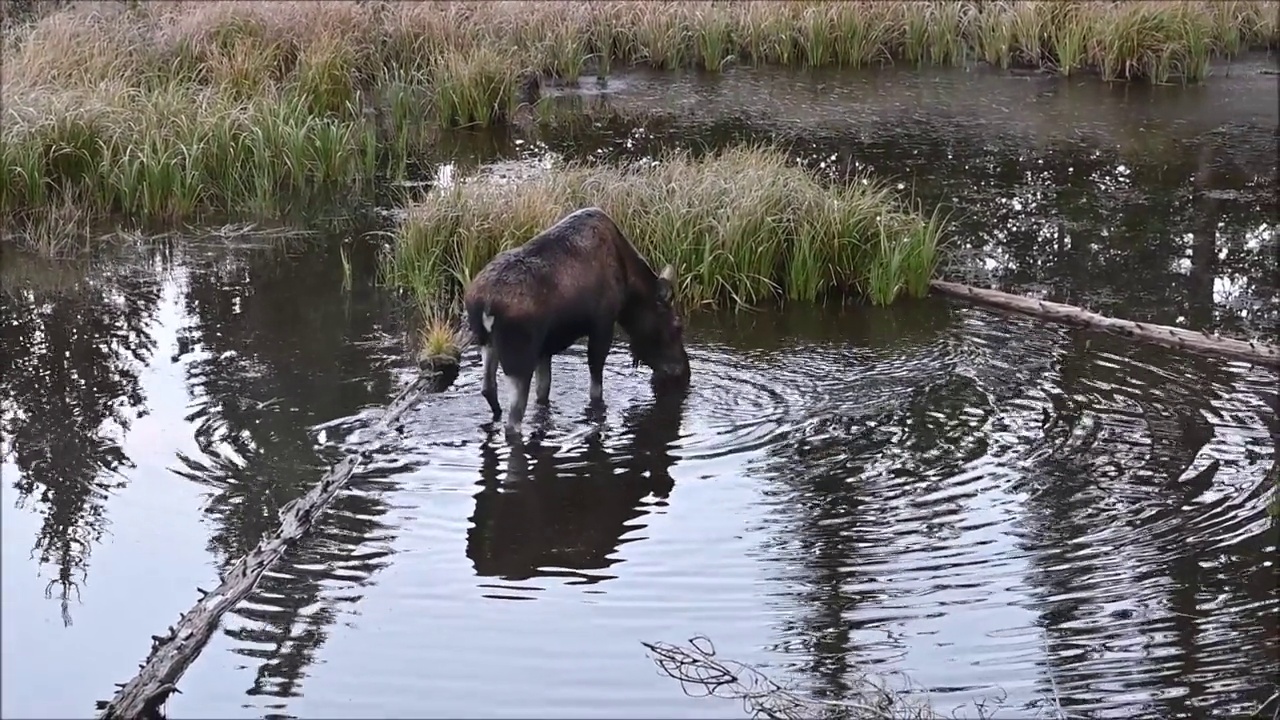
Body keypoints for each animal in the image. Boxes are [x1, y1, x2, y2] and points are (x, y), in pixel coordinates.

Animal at [463, 204, 691, 435]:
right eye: (677, 325)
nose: (685, 372)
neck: (629, 288)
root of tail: (485, 304)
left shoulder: (545, 349)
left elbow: (543, 391)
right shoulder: (602, 324)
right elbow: (595, 388)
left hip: (488, 344)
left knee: (488, 389)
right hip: (519, 360)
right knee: (512, 424)